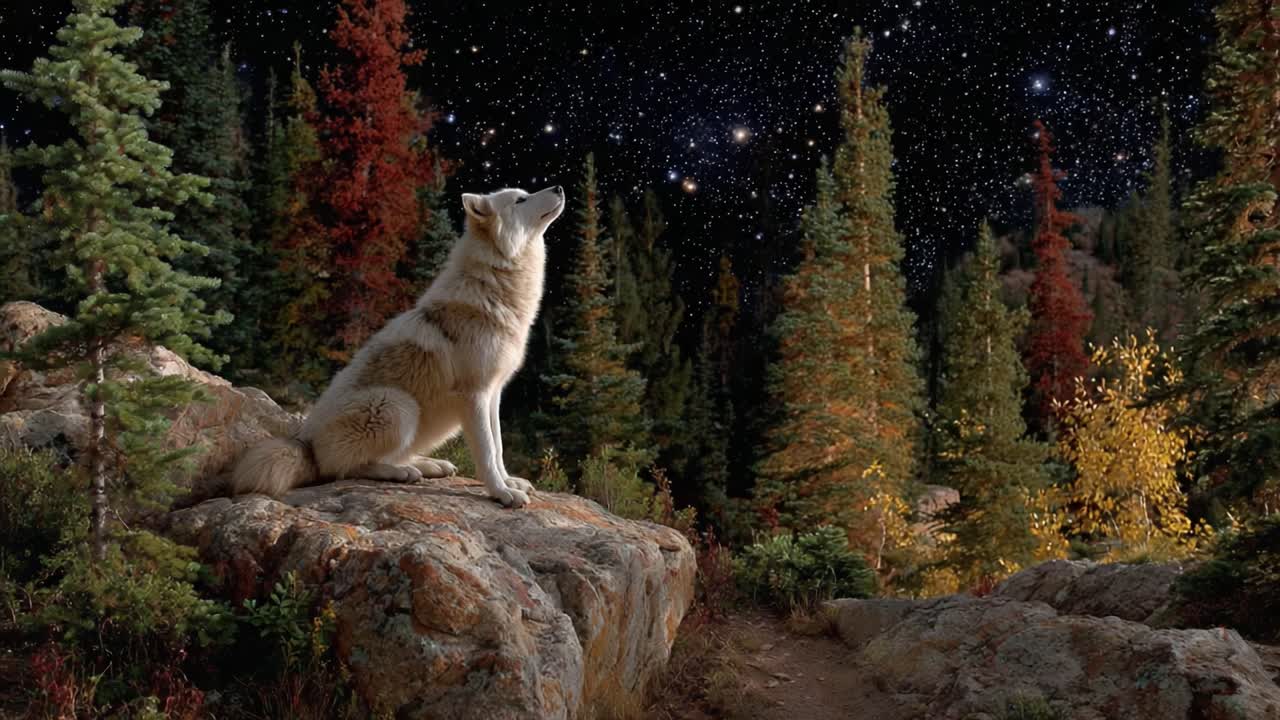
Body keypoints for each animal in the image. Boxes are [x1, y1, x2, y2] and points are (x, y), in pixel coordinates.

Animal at [229, 185, 565, 508]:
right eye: (520, 200)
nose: (559, 188)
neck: (496, 289)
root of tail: (306, 443)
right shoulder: (475, 394)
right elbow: (486, 452)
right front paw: (501, 493)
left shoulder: (494, 393)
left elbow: (498, 447)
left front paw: (509, 482)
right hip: (397, 405)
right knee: (343, 469)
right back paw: (400, 473)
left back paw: (427, 466)